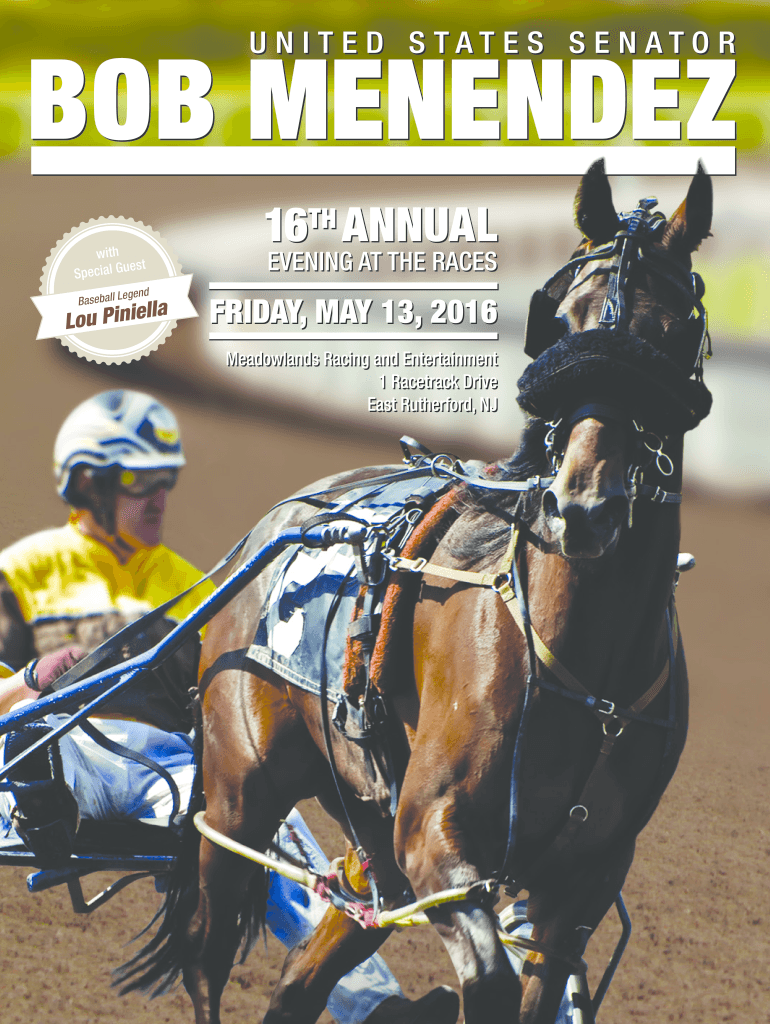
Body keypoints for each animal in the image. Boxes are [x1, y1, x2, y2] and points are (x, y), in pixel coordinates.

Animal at [119, 160, 714, 1024]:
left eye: (669, 336)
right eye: (565, 324)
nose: (583, 506)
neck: (583, 669)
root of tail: (280, 519)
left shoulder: (583, 883)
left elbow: (535, 984)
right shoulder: (433, 833)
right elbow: (488, 978)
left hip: (370, 827)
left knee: (303, 977)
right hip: (240, 794)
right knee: (206, 951)